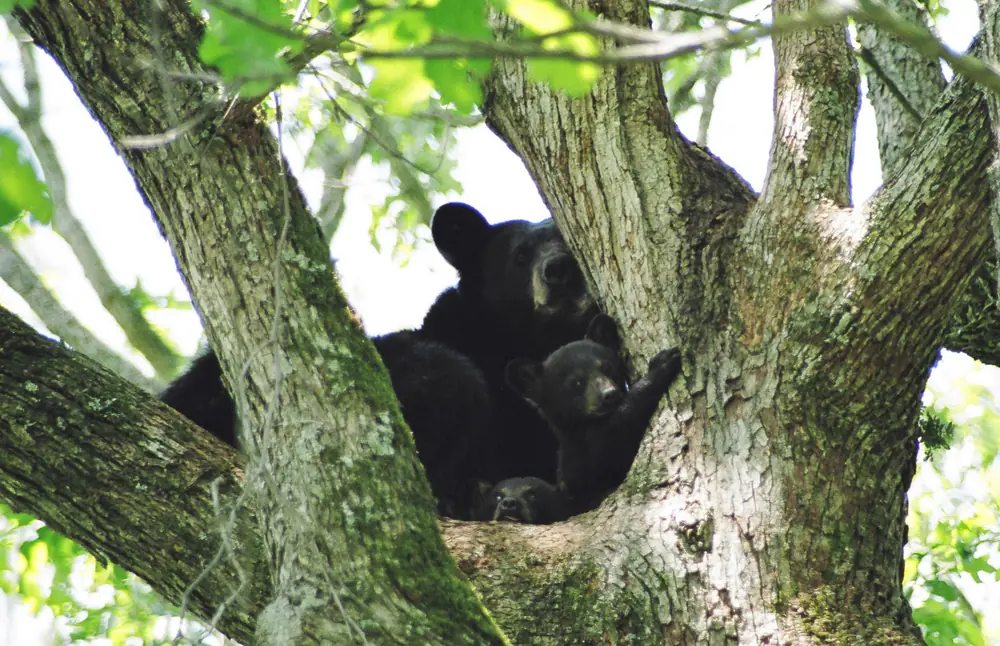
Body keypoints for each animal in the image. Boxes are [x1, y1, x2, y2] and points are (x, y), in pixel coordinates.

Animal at [505, 313, 682, 511]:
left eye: (606, 367)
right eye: (577, 382)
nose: (609, 394)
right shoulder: (582, 459)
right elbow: (613, 431)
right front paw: (661, 365)